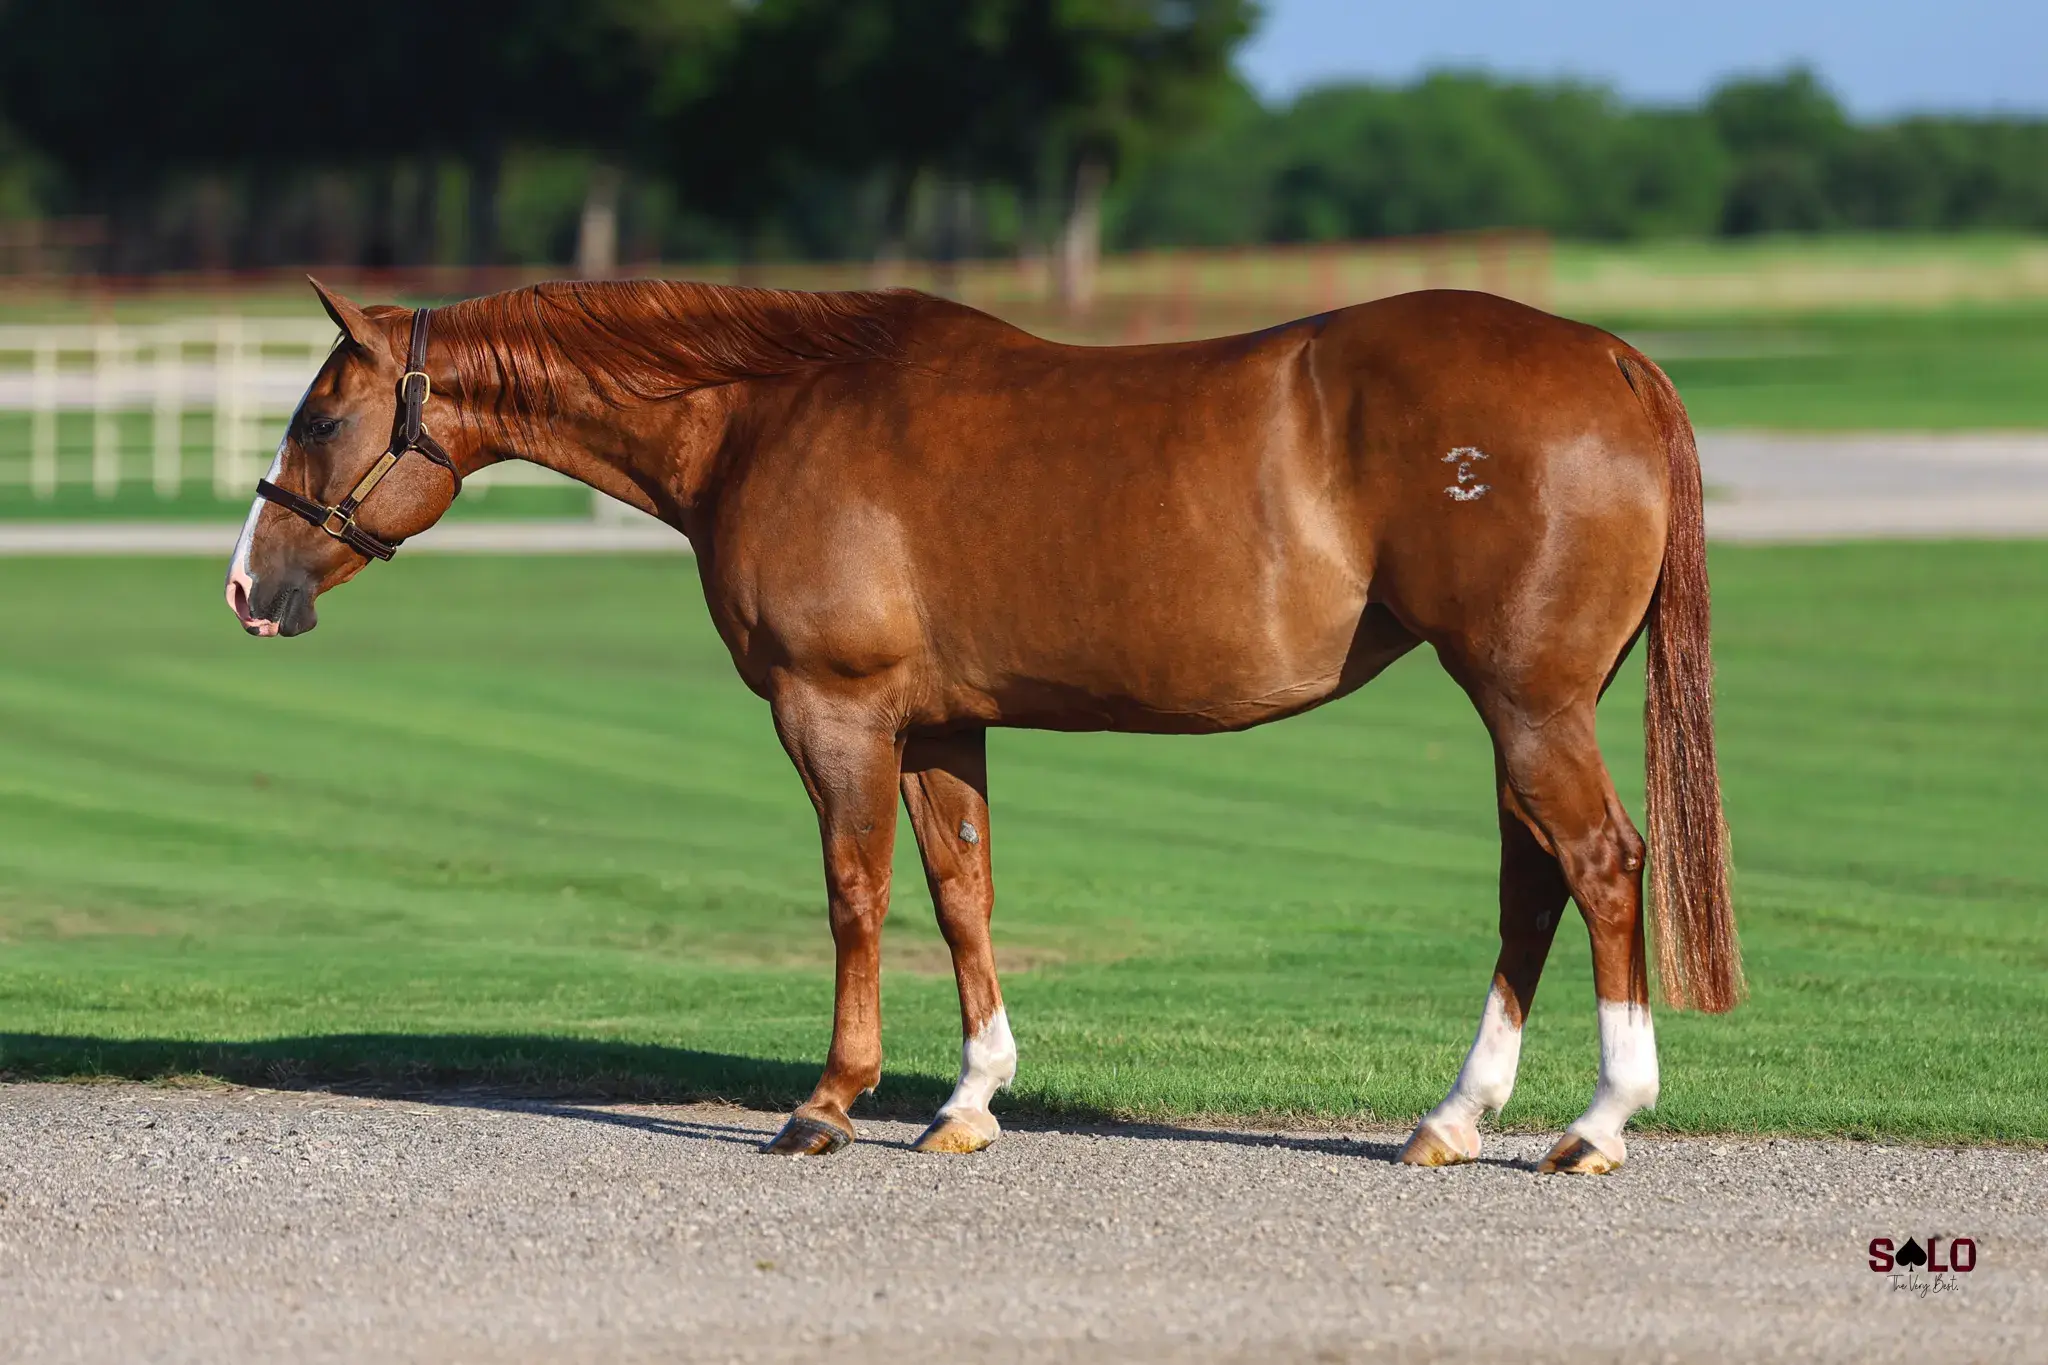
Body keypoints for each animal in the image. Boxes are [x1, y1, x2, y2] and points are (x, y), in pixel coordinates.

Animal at [226, 276, 1741, 1173]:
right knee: (1534, 883)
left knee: (1599, 866)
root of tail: (1614, 361)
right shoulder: (942, 727)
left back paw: (1598, 1122)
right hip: (1527, 704)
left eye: (323, 415)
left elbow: (854, 894)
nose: (247, 586)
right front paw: (968, 1101)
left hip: (1526, 699)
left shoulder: (836, 712)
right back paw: (1454, 1117)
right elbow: (963, 892)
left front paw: (829, 1102)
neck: (768, 413)